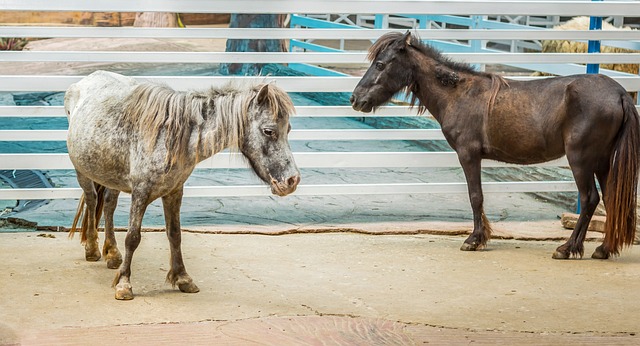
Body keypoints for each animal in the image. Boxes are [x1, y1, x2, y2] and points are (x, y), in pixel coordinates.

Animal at [352, 31, 636, 260]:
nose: (356, 99)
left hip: (581, 160)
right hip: (602, 161)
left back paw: (567, 248)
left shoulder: (468, 155)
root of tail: (620, 93)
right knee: (610, 199)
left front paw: (474, 239)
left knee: (590, 199)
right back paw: (603, 249)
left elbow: (475, 196)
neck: (459, 94)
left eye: (380, 64)